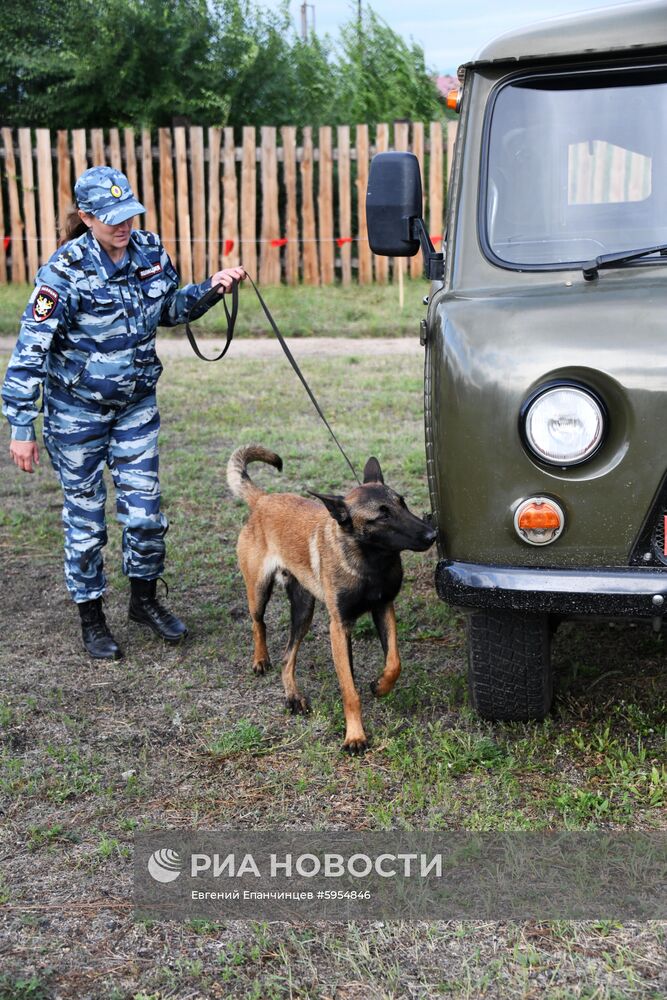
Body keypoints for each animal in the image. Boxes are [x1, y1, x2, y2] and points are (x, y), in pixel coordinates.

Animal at [230, 442, 438, 752]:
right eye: (382, 515)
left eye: (402, 503)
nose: (432, 534)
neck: (370, 562)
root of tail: (264, 499)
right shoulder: (339, 627)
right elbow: (349, 690)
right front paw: (355, 736)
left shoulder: (383, 608)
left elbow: (394, 662)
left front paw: (380, 686)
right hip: (259, 592)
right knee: (259, 624)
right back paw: (261, 660)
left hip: (303, 611)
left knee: (288, 658)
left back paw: (293, 696)